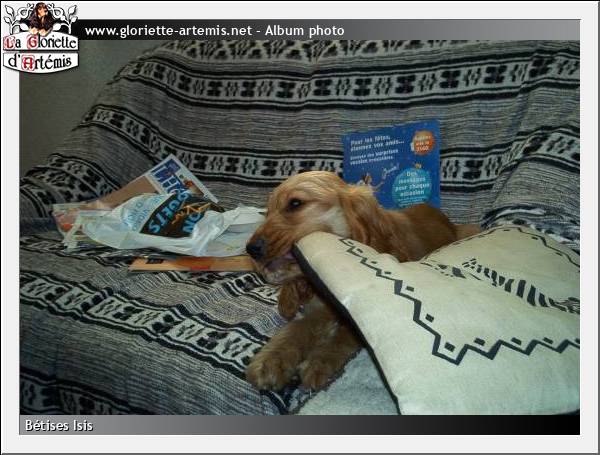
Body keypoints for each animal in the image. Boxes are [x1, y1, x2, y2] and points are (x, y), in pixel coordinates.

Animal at [245, 171, 480, 391]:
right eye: (266, 213)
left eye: (295, 203)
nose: (250, 249)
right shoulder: (323, 305)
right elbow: (299, 326)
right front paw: (272, 358)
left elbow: (347, 333)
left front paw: (320, 361)